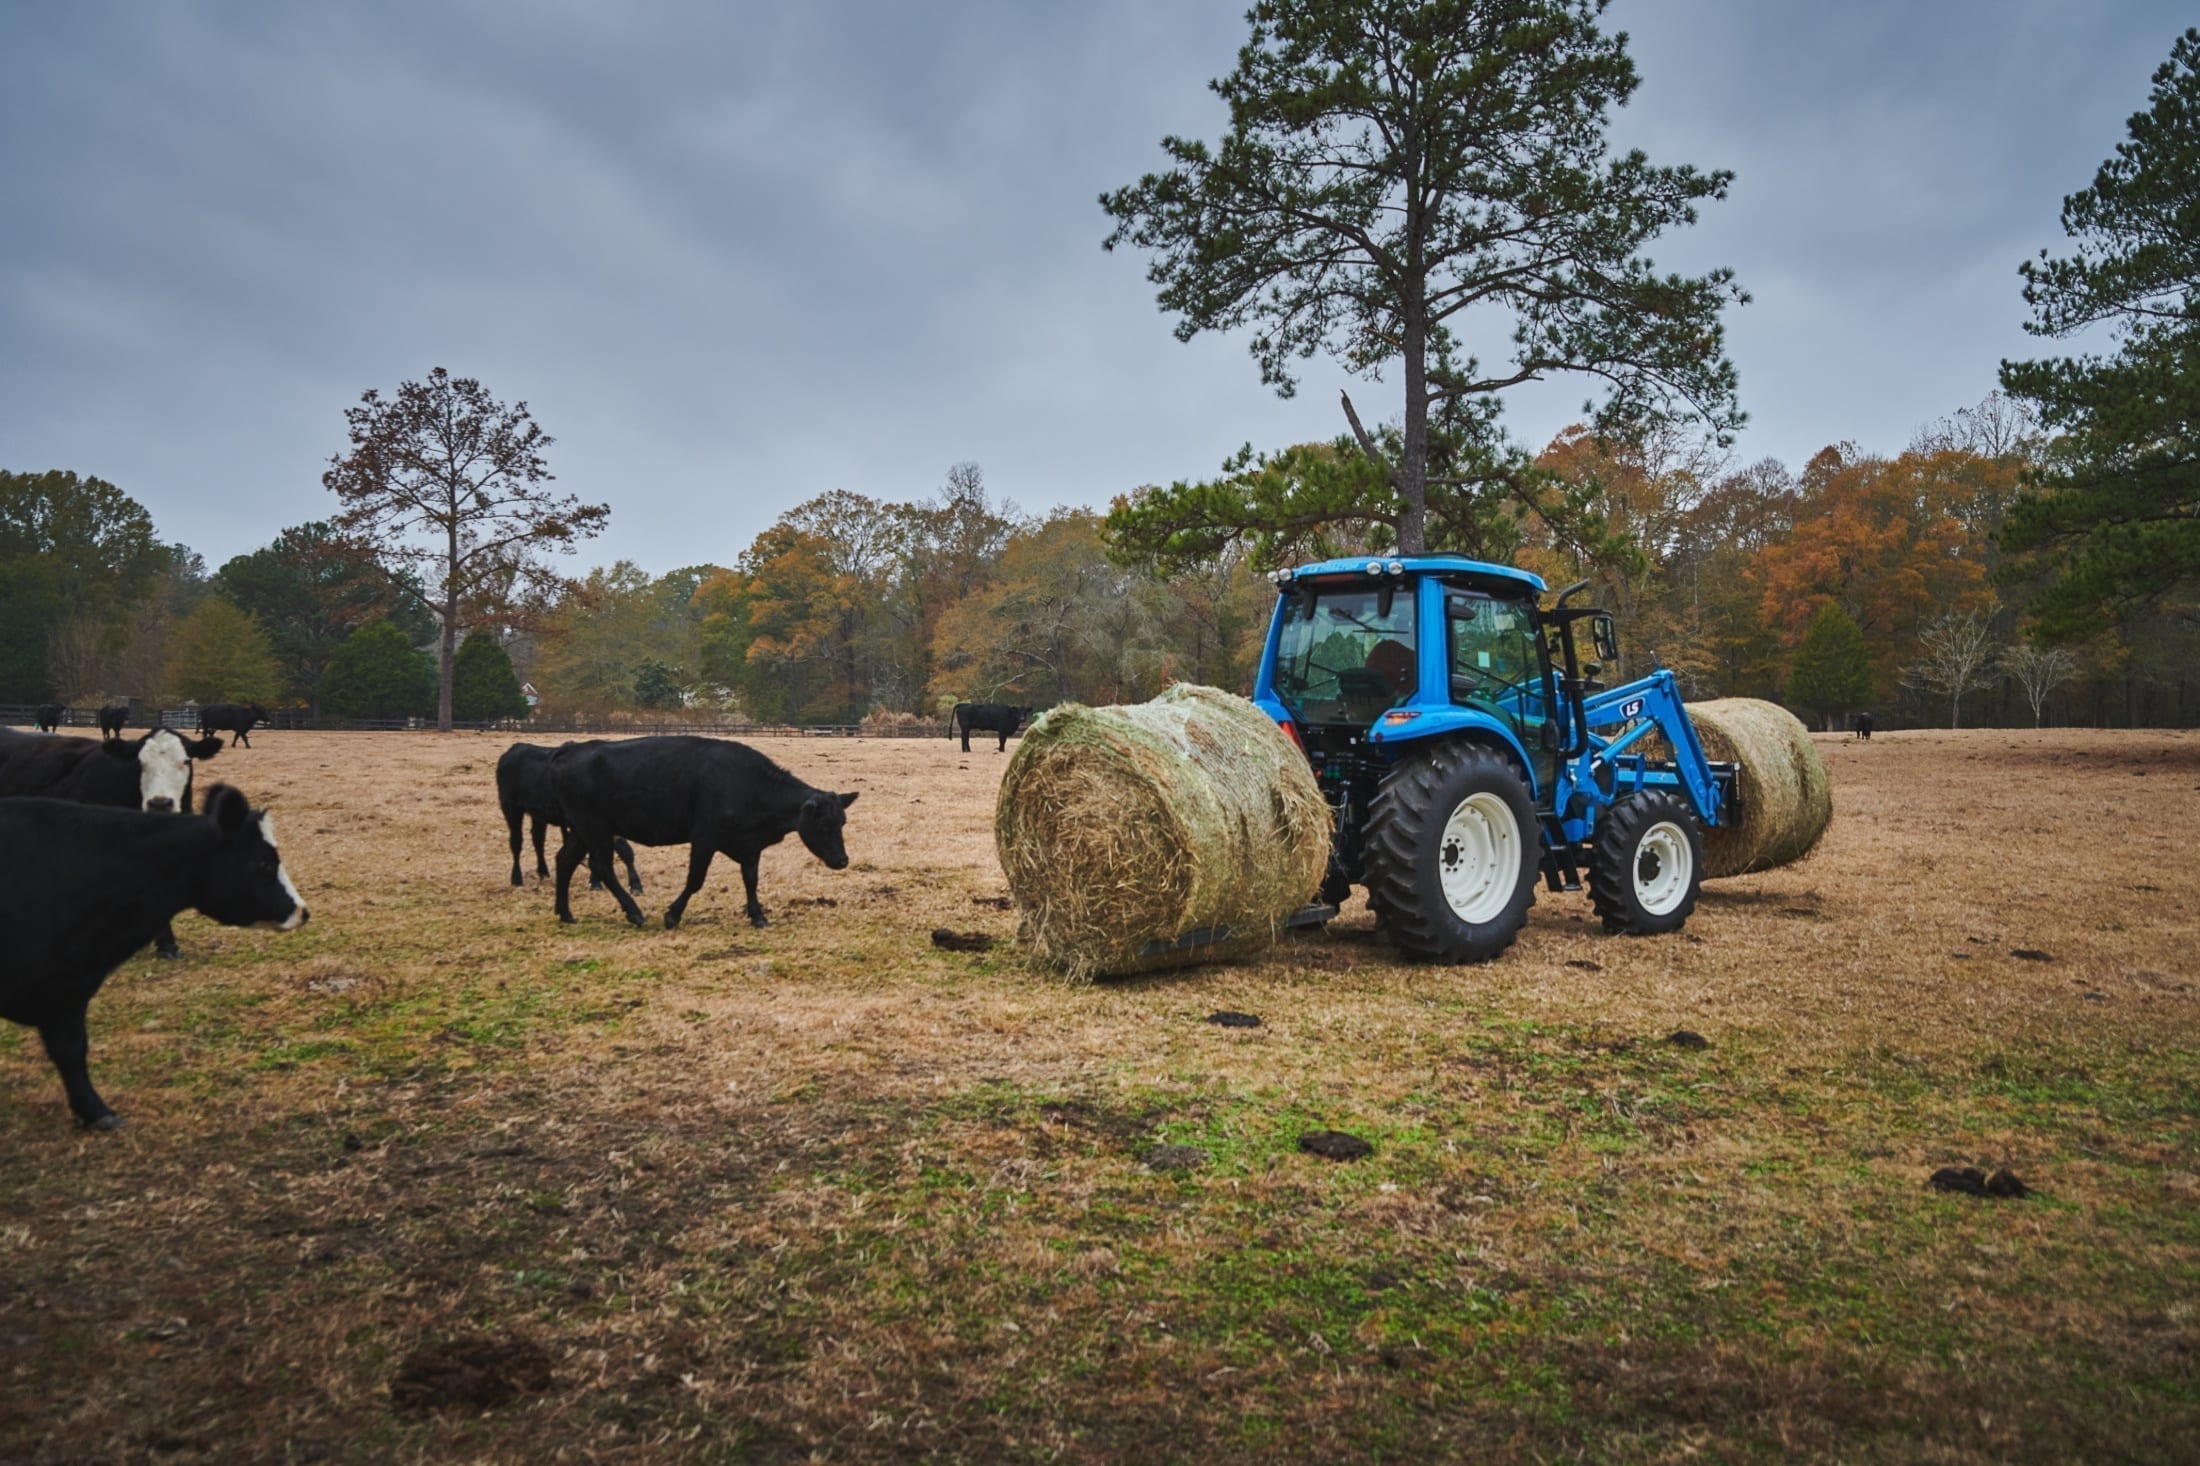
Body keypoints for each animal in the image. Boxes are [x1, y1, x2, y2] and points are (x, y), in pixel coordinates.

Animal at [0, 783, 310, 1122]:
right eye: (265, 864)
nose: (301, 911)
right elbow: (69, 1050)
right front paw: (96, 1111)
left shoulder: (68, 986)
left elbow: (72, 1048)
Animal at [490, 744, 638, 889]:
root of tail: (514, 749)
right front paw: (632, 883)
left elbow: (622, 850)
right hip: (511, 809)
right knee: (516, 841)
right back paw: (516, 878)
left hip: (538, 814)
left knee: (538, 839)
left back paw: (543, 872)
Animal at [545, 730, 853, 924]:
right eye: (823, 824)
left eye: (842, 822)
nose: (842, 860)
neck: (746, 783)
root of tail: (570, 750)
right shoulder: (704, 839)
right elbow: (695, 880)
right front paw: (673, 915)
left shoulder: (750, 846)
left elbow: (750, 879)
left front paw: (757, 915)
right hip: (595, 828)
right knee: (602, 867)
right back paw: (633, 913)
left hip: (583, 831)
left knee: (565, 860)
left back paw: (565, 913)